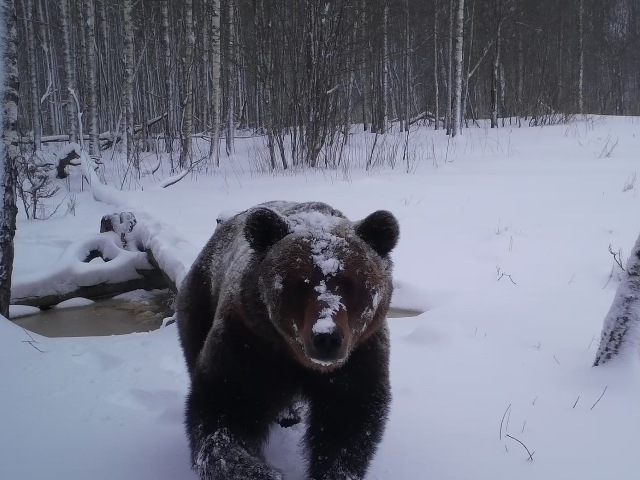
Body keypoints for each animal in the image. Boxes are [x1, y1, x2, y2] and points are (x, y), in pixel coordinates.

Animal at [176, 201, 400, 480]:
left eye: (350, 283)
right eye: (300, 284)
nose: (326, 337)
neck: (297, 358)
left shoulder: (359, 354)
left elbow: (347, 421)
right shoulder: (249, 342)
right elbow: (225, 410)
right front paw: (261, 472)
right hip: (200, 300)